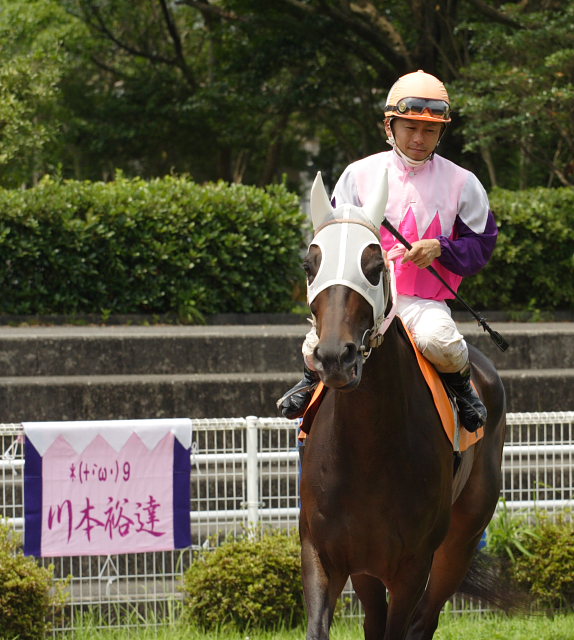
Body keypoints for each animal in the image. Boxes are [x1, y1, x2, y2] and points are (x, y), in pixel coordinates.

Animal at [300, 171, 506, 640]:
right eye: (310, 265)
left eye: (375, 267)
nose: (336, 357)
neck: (365, 453)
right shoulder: (323, 552)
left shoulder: (413, 564)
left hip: (461, 539)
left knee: (425, 619)